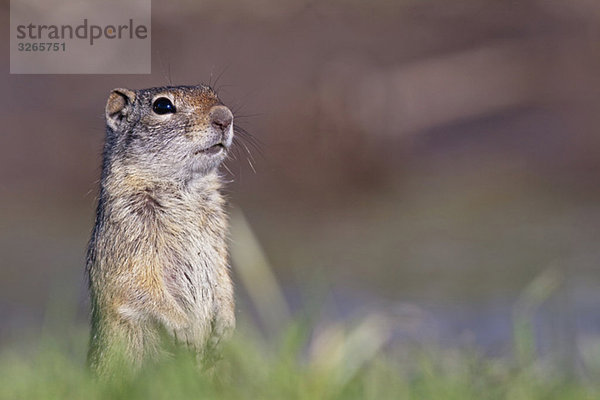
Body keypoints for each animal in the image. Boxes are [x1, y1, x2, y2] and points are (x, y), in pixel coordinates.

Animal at [86, 84, 237, 376]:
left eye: (213, 93)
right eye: (162, 106)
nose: (225, 117)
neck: (184, 190)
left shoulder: (218, 240)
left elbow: (223, 280)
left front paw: (225, 328)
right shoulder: (129, 237)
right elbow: (137, 285)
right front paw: (184, 329)